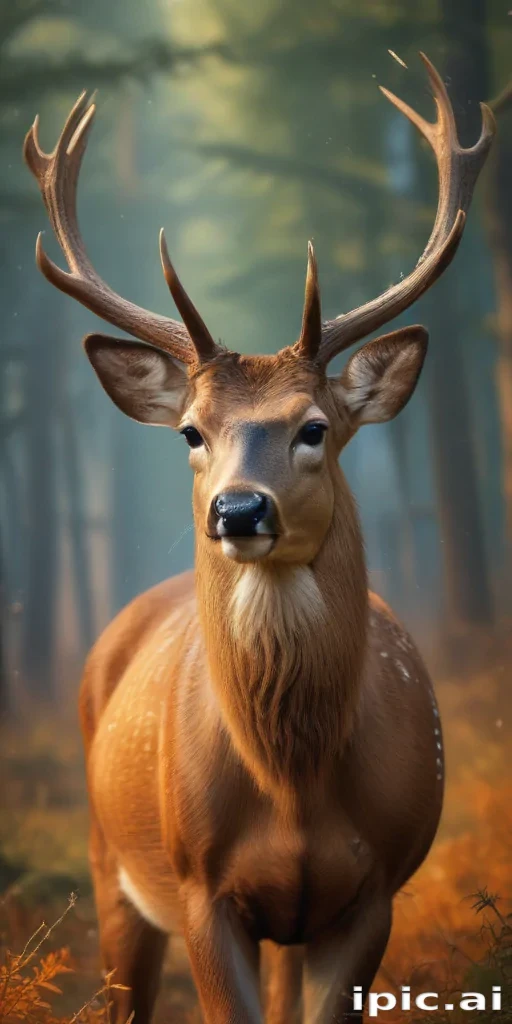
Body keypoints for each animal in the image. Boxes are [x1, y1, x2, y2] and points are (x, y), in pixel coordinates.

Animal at [24, 54, 494, 1024]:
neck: (292, 787)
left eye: (314, 427)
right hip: (109, 860)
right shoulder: (202, 889)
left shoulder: (376, 890)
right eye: (191, 432)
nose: (239, 511)